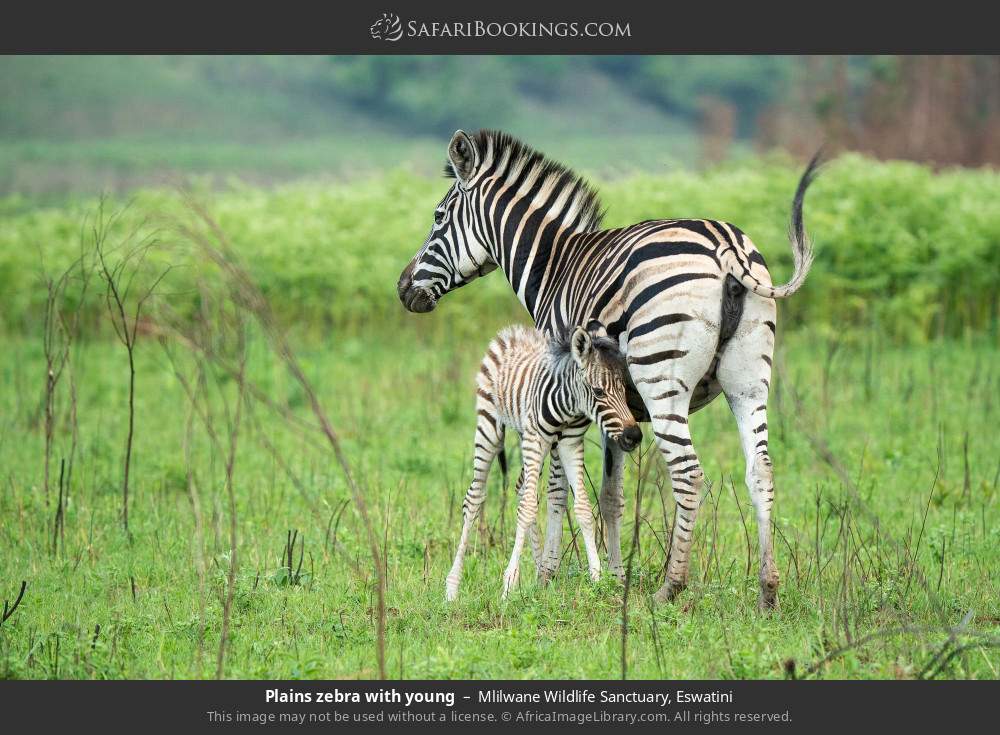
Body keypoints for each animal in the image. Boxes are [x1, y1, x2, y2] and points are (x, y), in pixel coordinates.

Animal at [445, 322, 641, 601]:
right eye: (598, 391)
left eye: (624, 390)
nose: (634, 436)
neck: (568, 408)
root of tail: (511, 332)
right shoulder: (536, 439)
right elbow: (527, 509)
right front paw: (508, 585)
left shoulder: (570, 443)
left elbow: (582, 507)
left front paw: (596, 577)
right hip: (490, 425)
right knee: (474, 498)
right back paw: (452, 588)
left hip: (526, 436)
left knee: (520, 488)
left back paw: (540, 570)